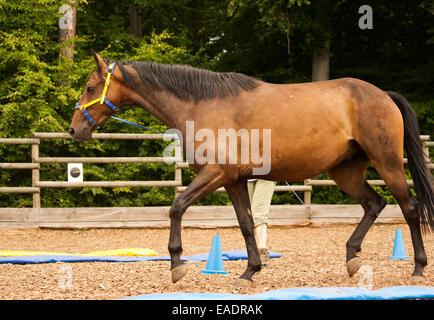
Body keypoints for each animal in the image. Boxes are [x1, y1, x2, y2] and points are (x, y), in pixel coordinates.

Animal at [69, 51, 432, 286]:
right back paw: (352, 258)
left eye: (89, 88)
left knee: (409, 207)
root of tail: (382, 94)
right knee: (374, 203)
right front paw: (250, 271)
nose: (74, 129)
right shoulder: (234, 180)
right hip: (346, 172)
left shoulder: (214, 174)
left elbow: (176, 207)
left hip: (387, 163)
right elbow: (245, 223)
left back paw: (417, 268)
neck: (201, 104)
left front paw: (176, 264)